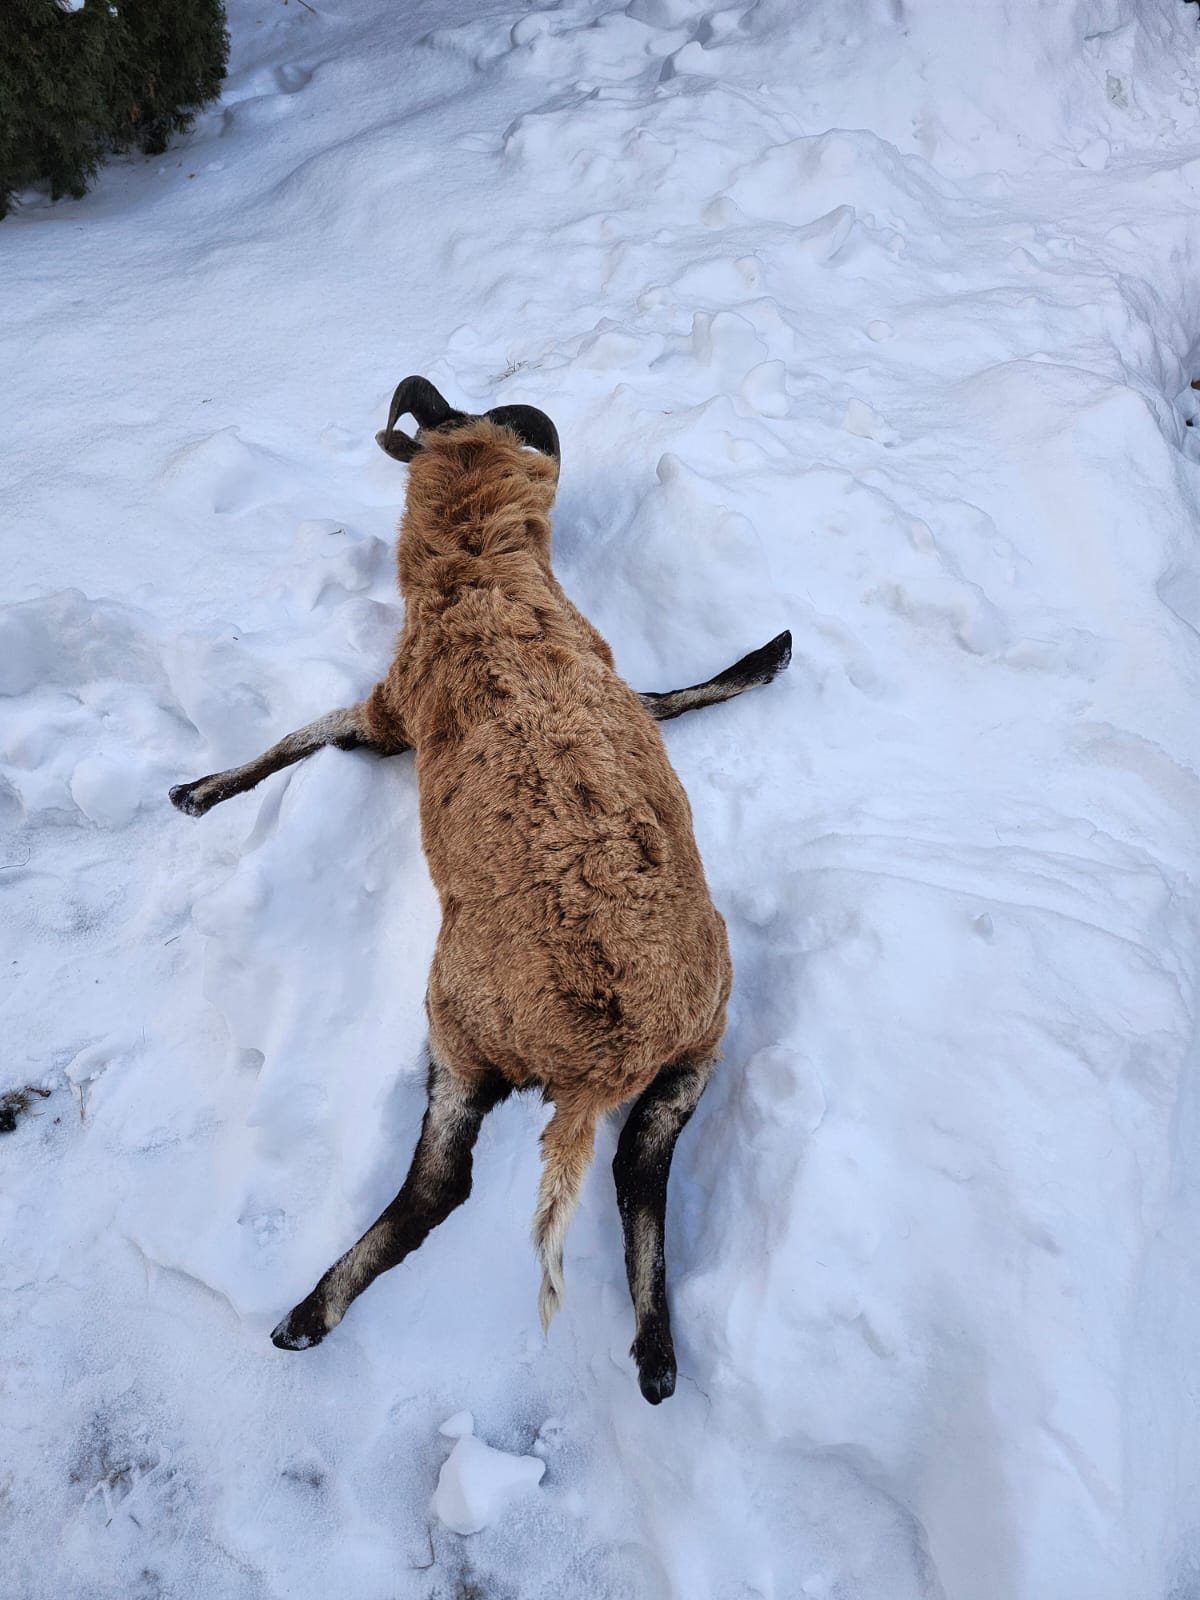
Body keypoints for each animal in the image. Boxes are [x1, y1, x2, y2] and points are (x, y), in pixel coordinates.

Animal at [170, 377, 790, 1403]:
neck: (482, 575)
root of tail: (600, 1064)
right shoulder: (613, 671)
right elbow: (664, 699)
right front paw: (766, 657)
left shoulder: (391, 709)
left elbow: (309, 732)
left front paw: (197, 790)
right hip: (697, 1051)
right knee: (638, 1172)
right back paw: (656, 1358)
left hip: (460, 1030)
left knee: (441, 1186)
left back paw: (307, 1315)